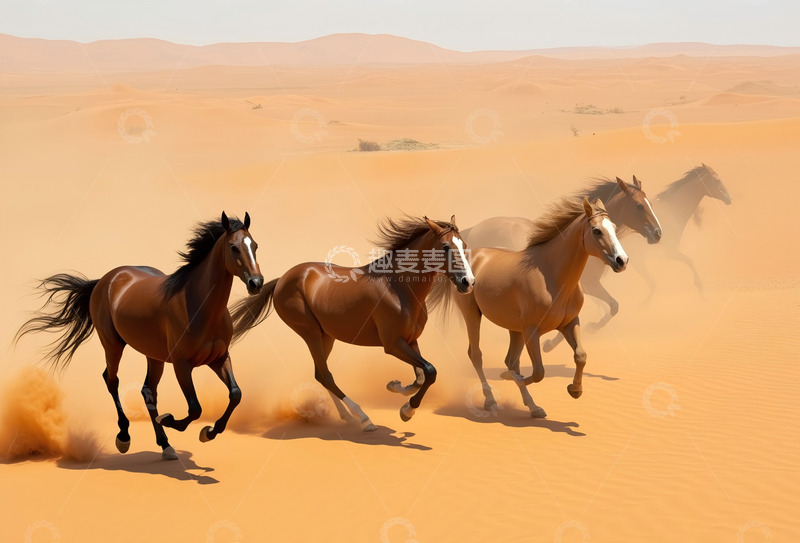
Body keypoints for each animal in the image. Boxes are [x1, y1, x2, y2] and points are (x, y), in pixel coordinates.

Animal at [15, 212, 264, 460]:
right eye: (234, 248)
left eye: (255, 245)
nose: (256, 283)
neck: (198, 305)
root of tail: (105, 279)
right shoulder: (182, 364)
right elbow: (195, 408)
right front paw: (170, 419)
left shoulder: (219, 358)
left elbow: (235, 394)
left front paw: (209, 432)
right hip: (112, 344)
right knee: (112, 380)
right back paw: (124, 436)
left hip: (153, 355)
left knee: (147, 391)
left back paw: (165, 445)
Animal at [230, 216, 474, 430]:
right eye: (445, 247)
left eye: (464, 245)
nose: (468, 282)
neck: (398, 286)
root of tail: (282, 279)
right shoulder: (393, 344)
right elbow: (430, 371)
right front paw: (407, 411)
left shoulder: (411, 340)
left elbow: (421, 375)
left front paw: (395, 387)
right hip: (309, 332)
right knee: (326, 375)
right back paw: (364, 419)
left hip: (326, 336)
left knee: (320, 374)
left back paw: (347, 417)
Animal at [428, 198, 628, 418]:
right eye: (596, 230)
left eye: (614, 227)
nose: (622, 260)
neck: (552, 277)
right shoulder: (532, 330)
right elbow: (538, 372)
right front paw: (507, 377)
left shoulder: (569, 323)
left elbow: (580, 356)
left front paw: (575, 390)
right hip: (472, 314)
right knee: (477, 355)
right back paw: (491, 400)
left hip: (514, 328)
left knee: (511, 360)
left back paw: (533, 406)